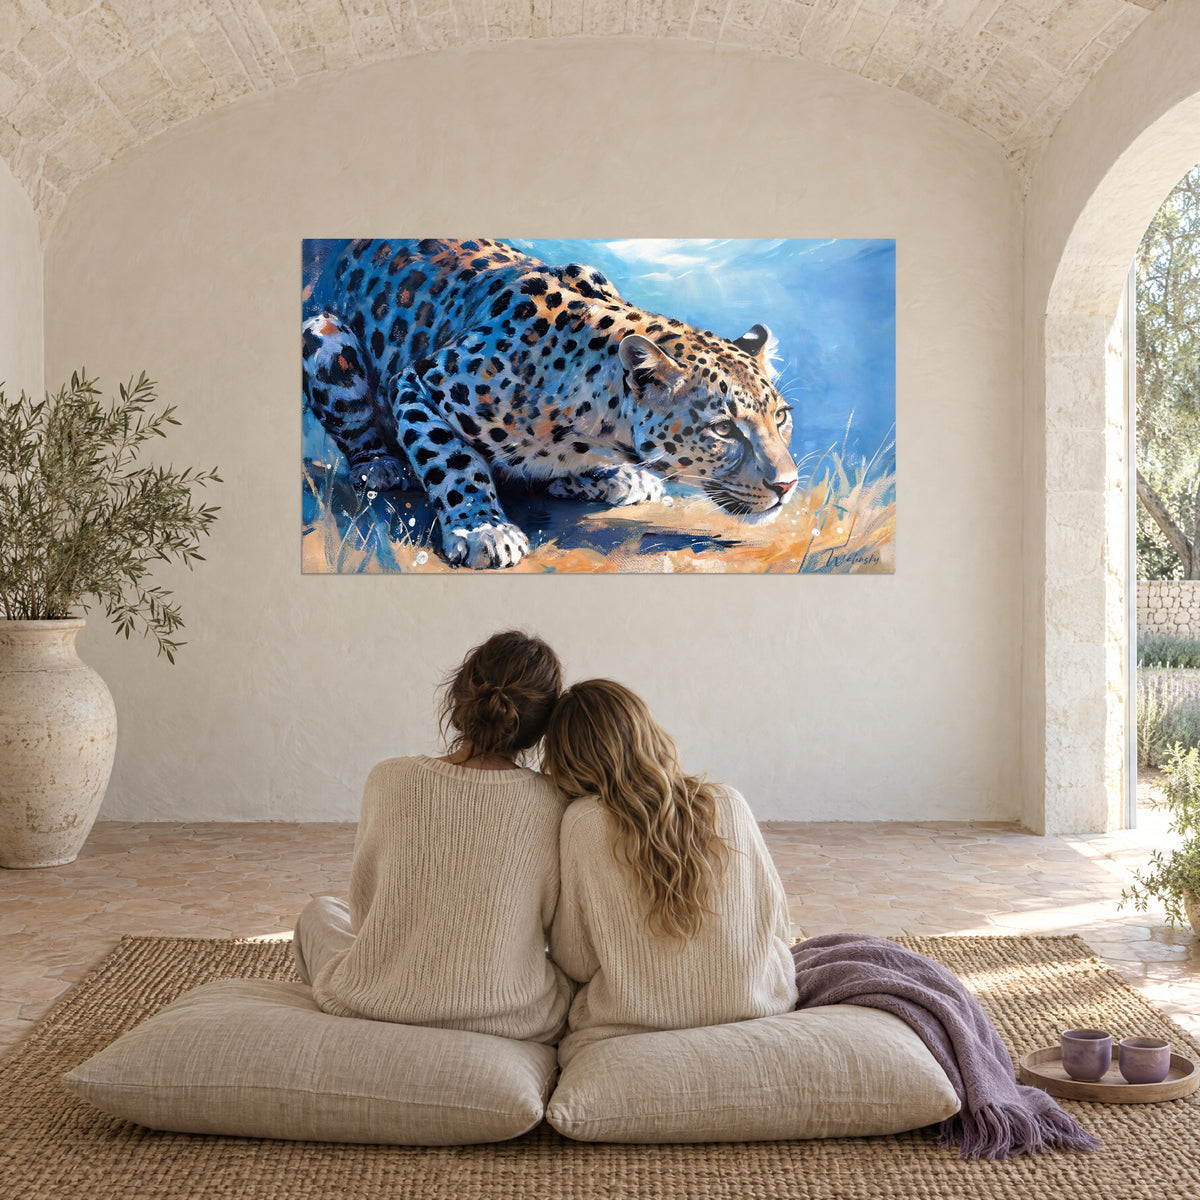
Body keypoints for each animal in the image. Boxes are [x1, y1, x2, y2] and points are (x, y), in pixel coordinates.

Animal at [302, 238, 798, 569]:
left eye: (781, 418)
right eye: (723, 429)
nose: (788, 485)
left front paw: (615, 476)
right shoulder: (418, 380)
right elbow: (452, 457)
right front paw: (484, 529)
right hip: (322, 334)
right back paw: (380, 466)